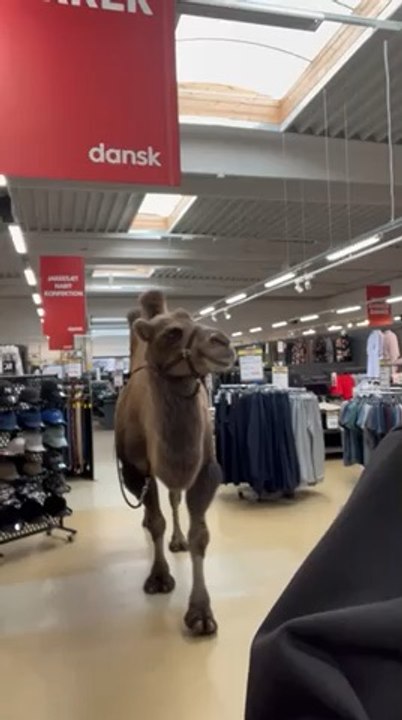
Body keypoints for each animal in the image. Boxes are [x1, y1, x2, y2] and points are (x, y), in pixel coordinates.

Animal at [115, 291, 235, 636]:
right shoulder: (137, 468)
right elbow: (156, 522)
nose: (222, 342)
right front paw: (159, 577)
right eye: (171, 333)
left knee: (173, 497)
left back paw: (177, 540)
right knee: (153, 506)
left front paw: (201, 613)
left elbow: (200, 535)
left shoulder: (205, 468)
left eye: (194, 319)